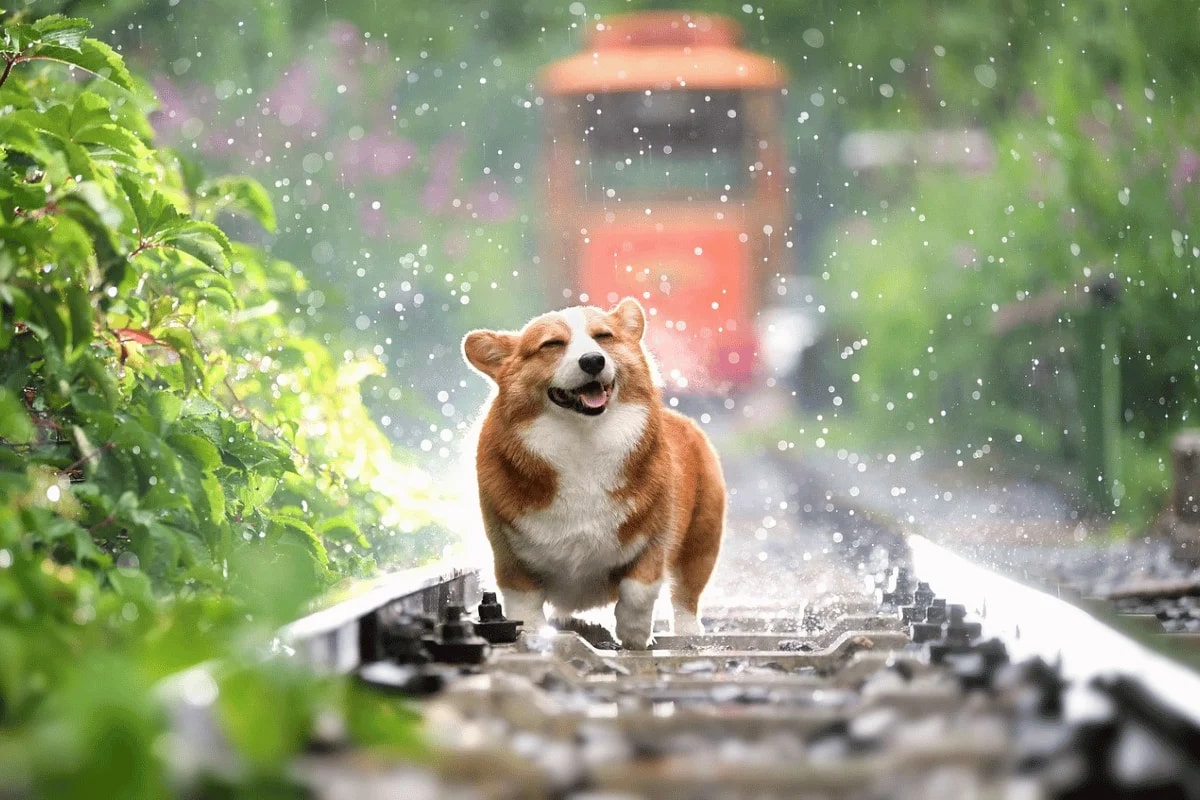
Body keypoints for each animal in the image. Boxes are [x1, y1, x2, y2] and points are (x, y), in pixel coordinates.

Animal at [463, 297, 724, 647]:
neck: (583, 440)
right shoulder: (509, 556)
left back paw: (686, 632)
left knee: (686, 595)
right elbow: (525, 605)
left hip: (702, 538)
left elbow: (638, 591)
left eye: (603, 337)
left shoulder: (654, 539)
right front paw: (533, 634)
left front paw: (635, 636)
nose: (593, 361)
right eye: (552, 344)